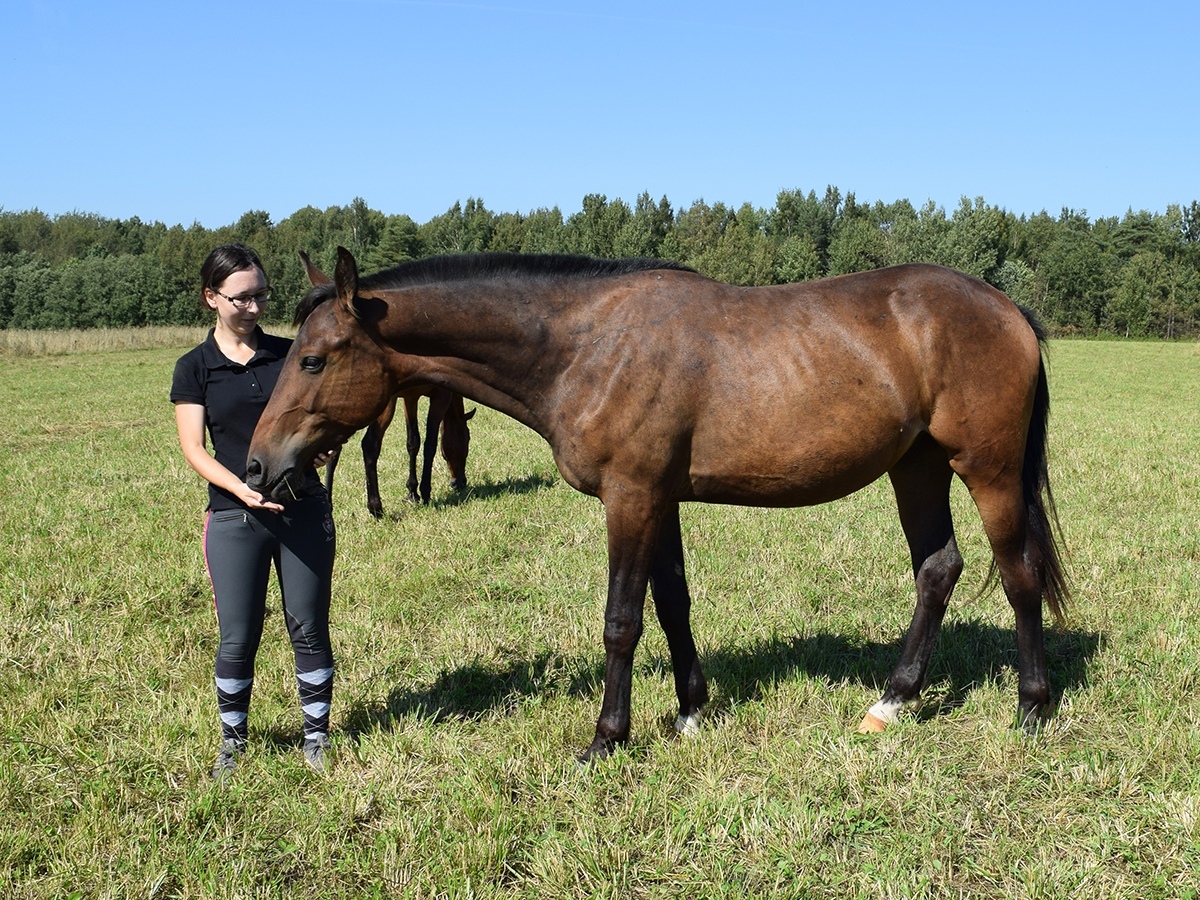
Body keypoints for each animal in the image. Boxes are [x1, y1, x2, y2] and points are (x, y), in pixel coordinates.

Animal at [246, 247, 1070, 763]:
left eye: (312, 358)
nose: (259, 464)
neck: (585, 344)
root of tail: (1005, 307)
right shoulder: (661, 499)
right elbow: (672, 603)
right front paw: (691, 710)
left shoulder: (631, 496)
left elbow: (622, 620)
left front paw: (606, 738)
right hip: (918, 468)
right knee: (938, 569)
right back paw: (891, 702)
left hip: (988, 470)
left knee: (1018, 574)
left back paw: (1031, 708)